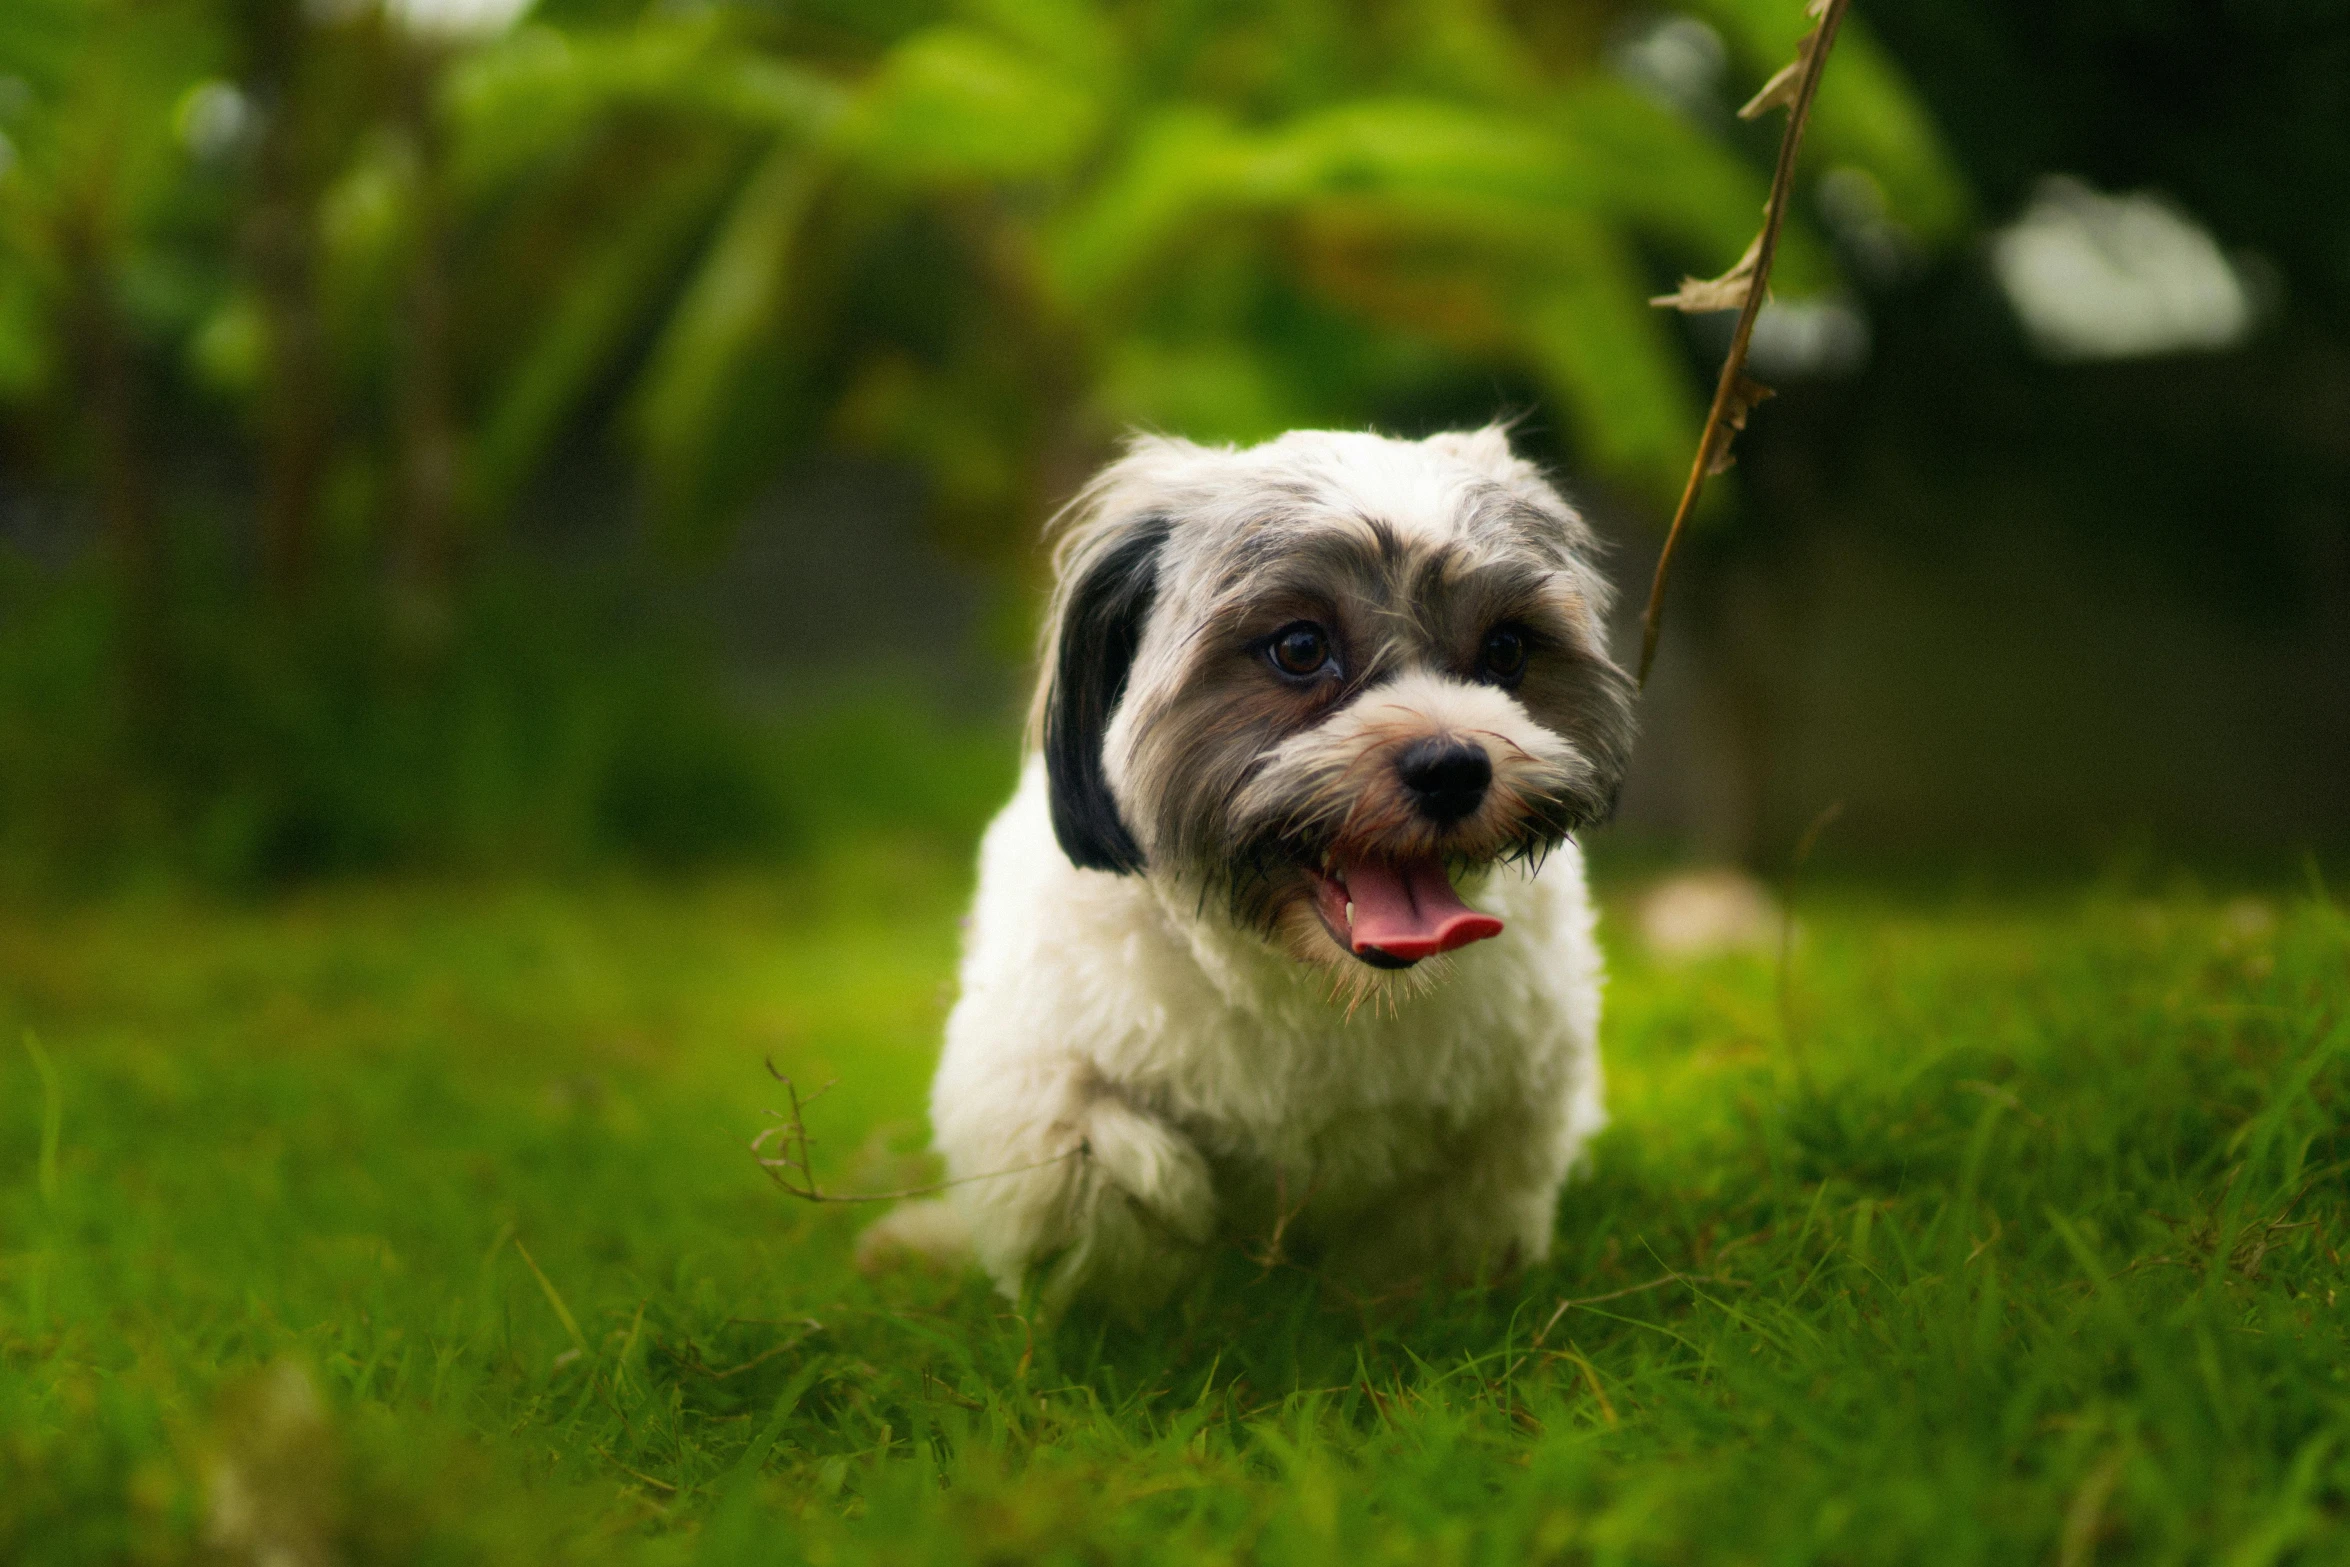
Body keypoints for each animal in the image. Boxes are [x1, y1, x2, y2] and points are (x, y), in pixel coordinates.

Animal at [864, 425, 1635, 1315]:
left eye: (1506, 650)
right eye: (1300, 647)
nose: (1452, 765)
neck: (1311, 982)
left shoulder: (1516, 1093)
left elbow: (1446, 1219)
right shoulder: (1030, 1057)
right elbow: (1082, 1155)